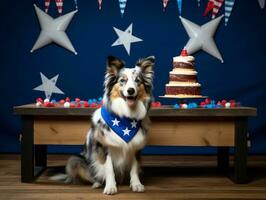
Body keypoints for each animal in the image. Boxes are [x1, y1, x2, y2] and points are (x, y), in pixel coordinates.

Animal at [52, 55, 155, 195]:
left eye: (137, 81)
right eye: (122, 80)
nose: (131, 90)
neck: (126, 117)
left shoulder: (136, 147)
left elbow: (134, 168)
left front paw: (136, 184)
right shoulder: (104, 146)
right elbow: (109, 168)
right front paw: (110, 187)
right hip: (75, 160)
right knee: (91, 175)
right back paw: (96, 183)